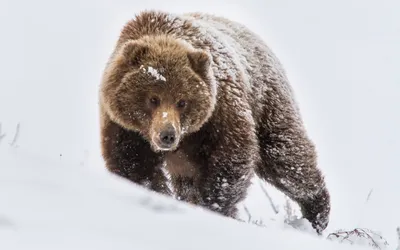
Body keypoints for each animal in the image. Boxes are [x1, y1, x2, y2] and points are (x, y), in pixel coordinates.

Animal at [98, 9, 330, 232]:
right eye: (153, 99)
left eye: (182, 101)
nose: (167, 135)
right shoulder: (125, 128)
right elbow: (135, 167)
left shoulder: (220, 111)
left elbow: (230, 159)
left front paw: (214, 206)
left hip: (267, 102)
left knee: (286, 157)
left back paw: (317, 212)